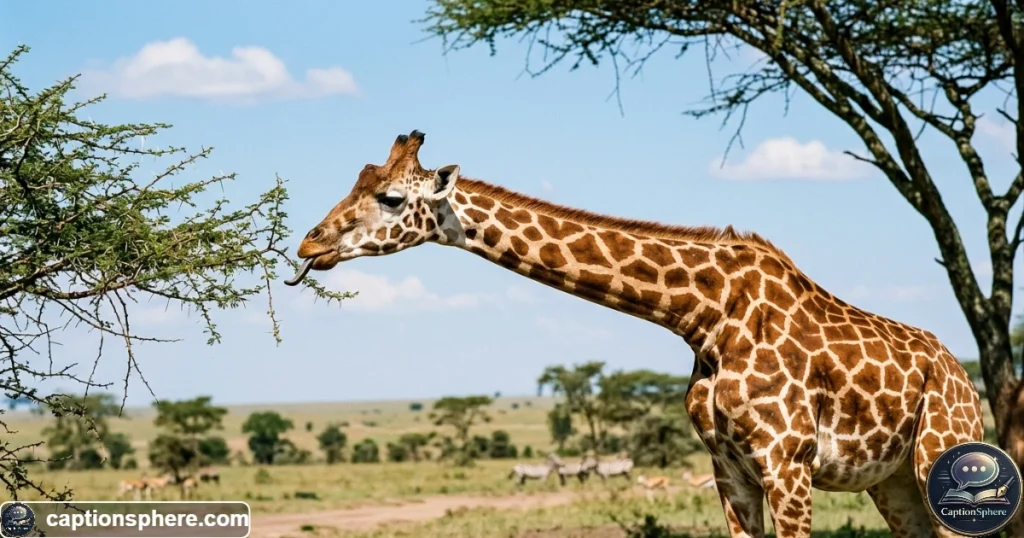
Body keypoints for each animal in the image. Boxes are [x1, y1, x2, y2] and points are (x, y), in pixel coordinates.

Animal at [286, 130, 985, 538]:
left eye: (391, 199)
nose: (308, 244)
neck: (705, 316)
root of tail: (961, 373)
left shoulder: (789, 463)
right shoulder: (728, 467)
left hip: (938, 456)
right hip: (892, 483)